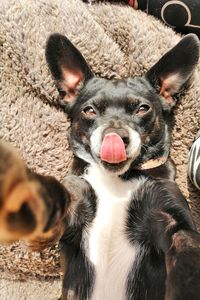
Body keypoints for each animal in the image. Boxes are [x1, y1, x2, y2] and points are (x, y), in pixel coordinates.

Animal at [0, 33, 200, 300]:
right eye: (89, 110)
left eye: (143, 108)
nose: (115, 136)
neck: (119, 178)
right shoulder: (77, 203)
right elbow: (65, 196)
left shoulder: (173, 220)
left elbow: (188, 247)